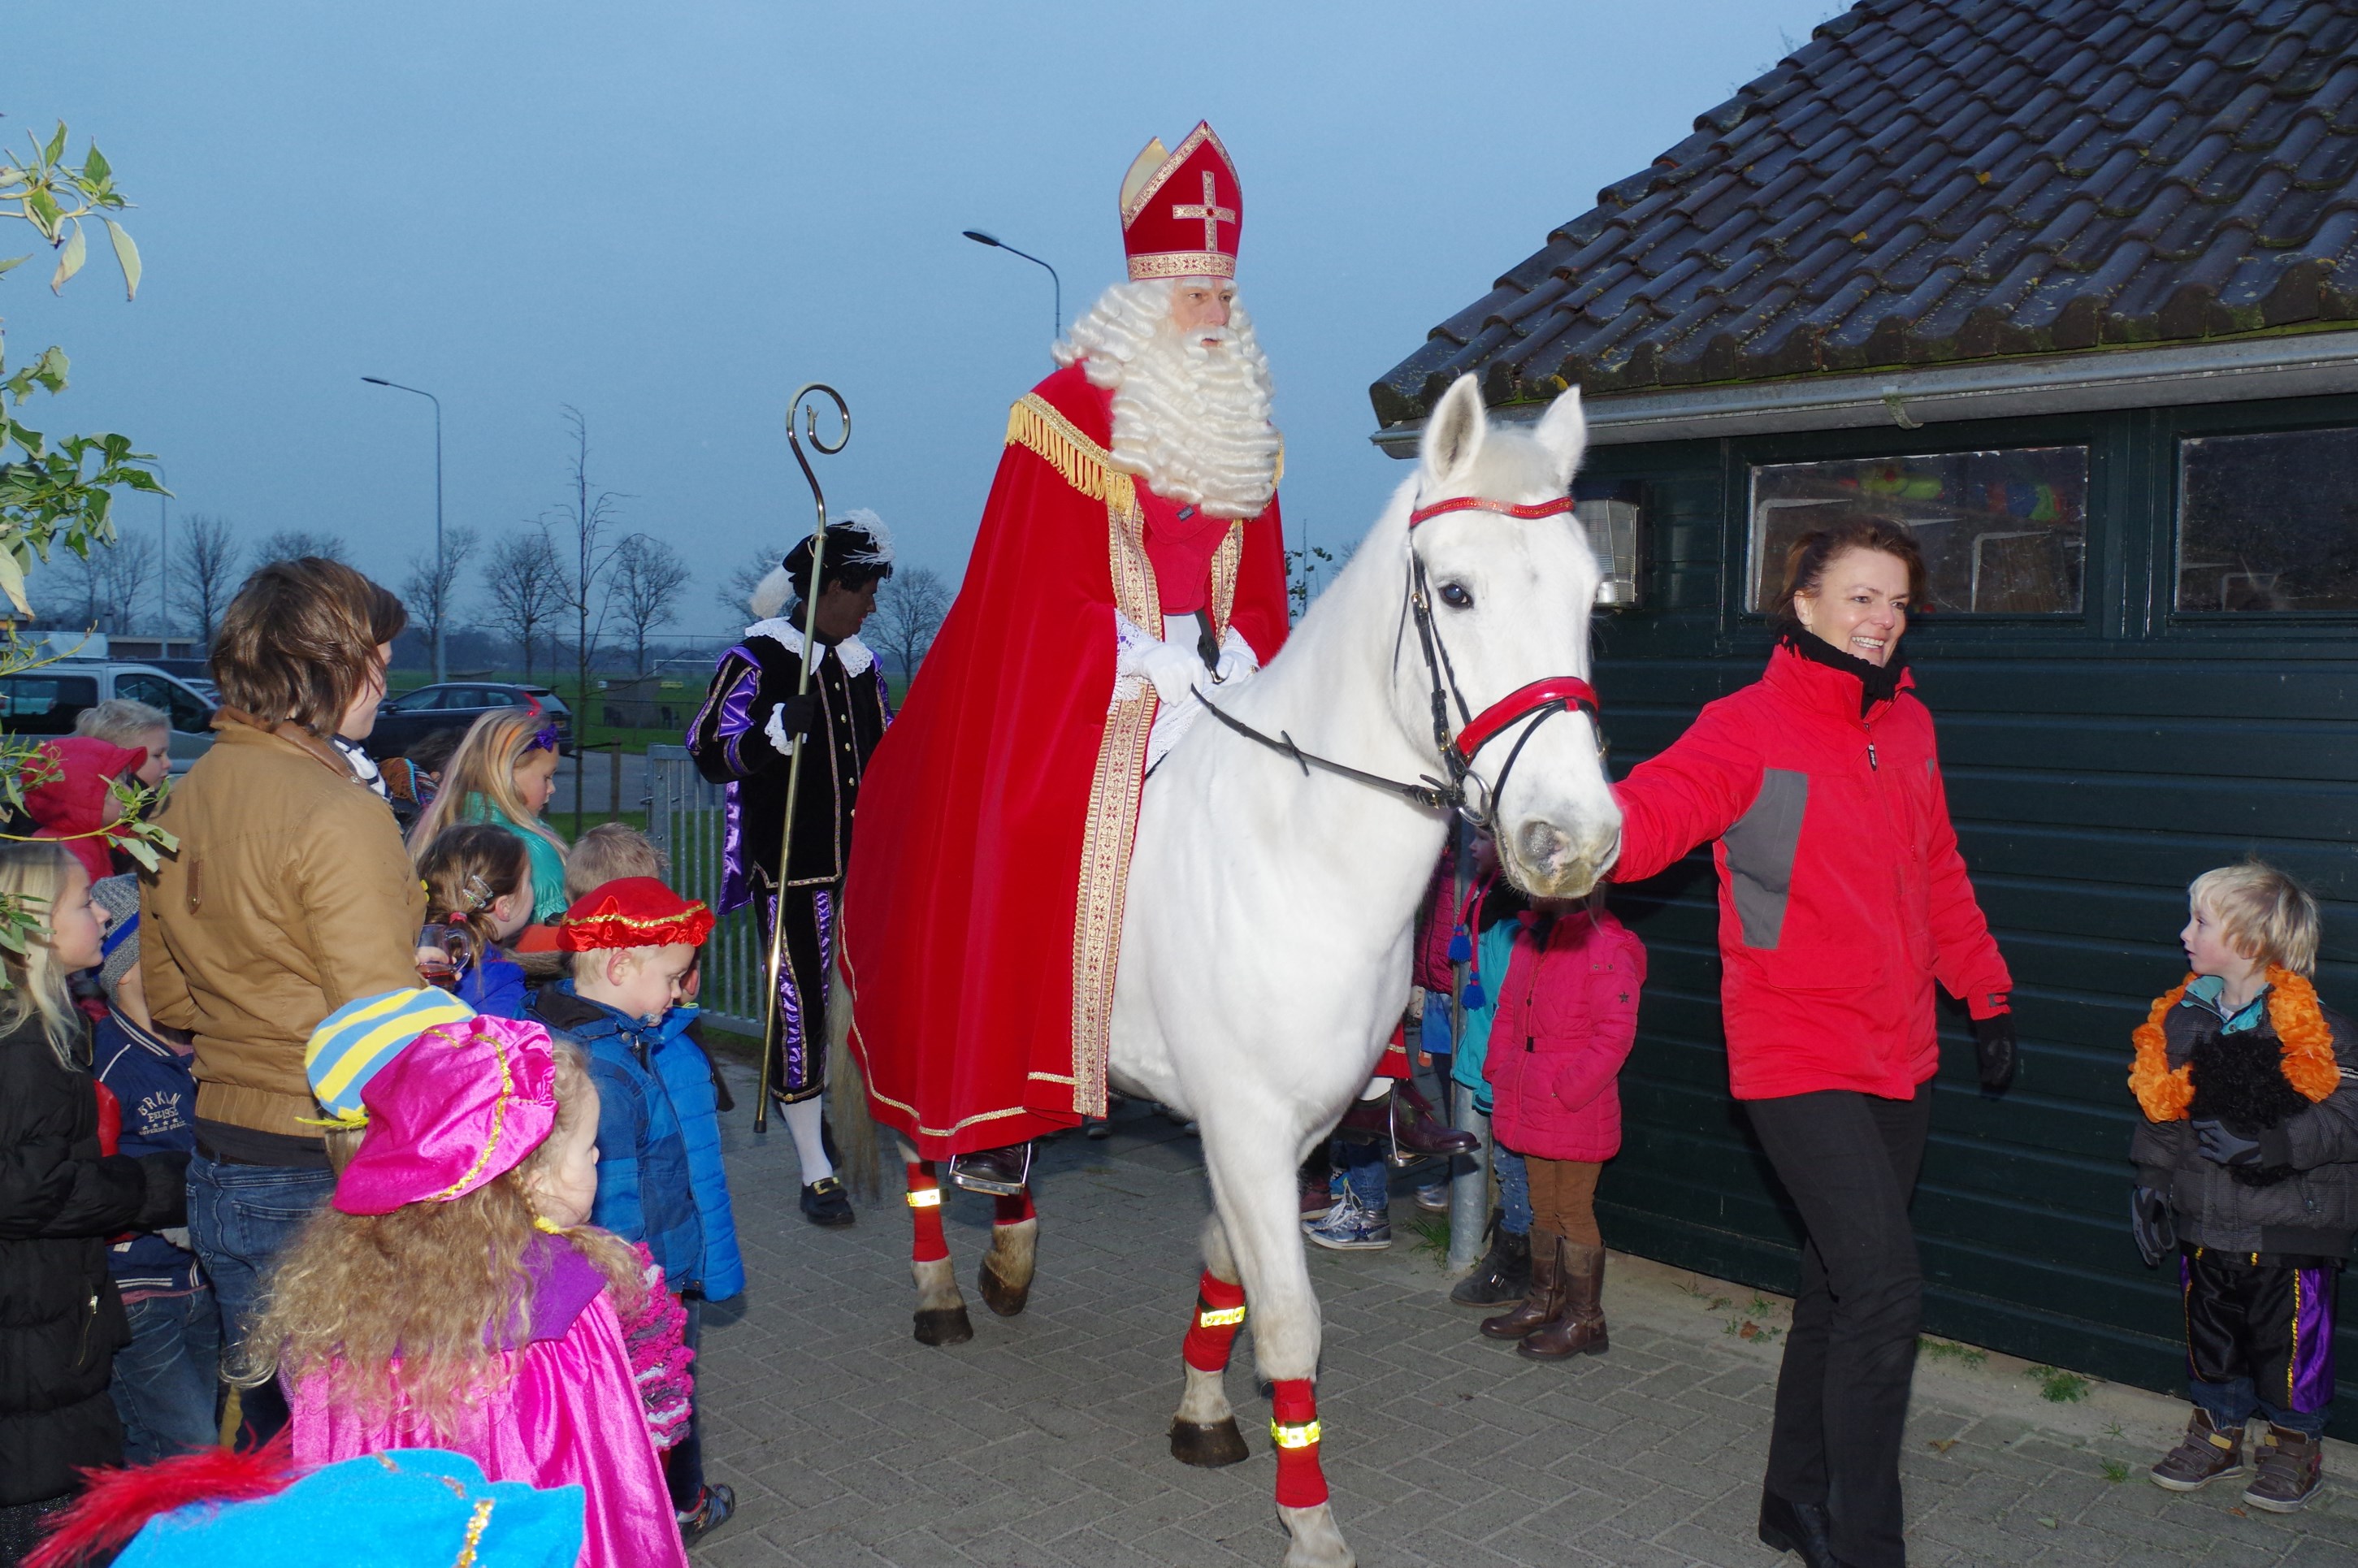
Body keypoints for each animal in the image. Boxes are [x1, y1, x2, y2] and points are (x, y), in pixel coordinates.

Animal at [834, 372, 1622, 1556]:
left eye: (1587, 595)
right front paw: (1312, 1521)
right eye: (1456, 592)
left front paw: (1202, 1407)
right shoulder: (1245, 1122)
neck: (1295, 845)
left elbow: (1226, 1265)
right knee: (923, 1141)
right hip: (918, 1020)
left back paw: (1008, 1246)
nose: (1570, 841)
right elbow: (1289, 1315)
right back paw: (941, 1289)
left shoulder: (1279, 1125)